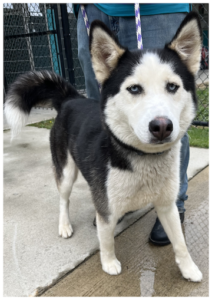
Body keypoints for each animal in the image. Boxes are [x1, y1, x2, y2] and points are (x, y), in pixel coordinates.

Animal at [4, 12, 203, 282]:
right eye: (134, 88)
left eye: (172, 86)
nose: (161, 126)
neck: (143, 158)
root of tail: (70, 99)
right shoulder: (106, 207)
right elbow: (107, 239)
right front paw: (109, 262)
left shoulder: (167, 205)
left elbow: (180, 242)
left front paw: (188, 268)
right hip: (66, 171)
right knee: (63, 199)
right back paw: (64, 225)